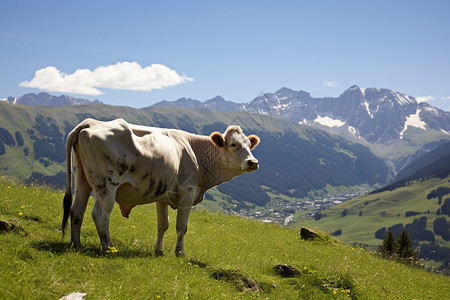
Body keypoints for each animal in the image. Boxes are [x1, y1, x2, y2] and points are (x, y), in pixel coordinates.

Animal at [62, 118, 260, 256]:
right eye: (234, 144)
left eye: (249, 145)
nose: (253, 162)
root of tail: (90, 123)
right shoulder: (188, 192)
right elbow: (181, 226)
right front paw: (180, 253)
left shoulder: (163, 195)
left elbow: (162, 225)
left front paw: (159, 251)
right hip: (106, 185)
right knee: (101, 214)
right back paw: (109, 248)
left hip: (82, 180)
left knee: (77, 210)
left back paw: (76, 244)